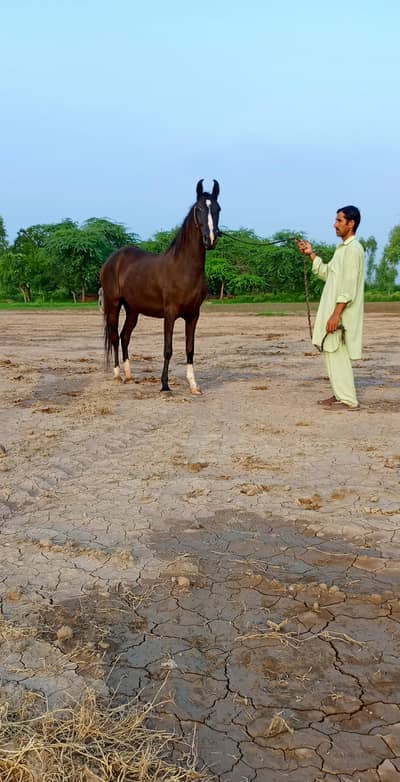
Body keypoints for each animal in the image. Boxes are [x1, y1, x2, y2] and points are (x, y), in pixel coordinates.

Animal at [100, 179, 221, 394]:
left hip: (133, 309)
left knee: (124, 336)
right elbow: (168, 349)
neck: (184, 268)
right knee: (114, 337)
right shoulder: (170, 314)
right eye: (199, 209)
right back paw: (117, 376)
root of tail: (112, 259)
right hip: (113, 304)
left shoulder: (193, 315)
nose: (211, 239)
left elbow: (190, 349)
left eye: (218, 209)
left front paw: (193, 385)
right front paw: (165, 384)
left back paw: (129, 376)